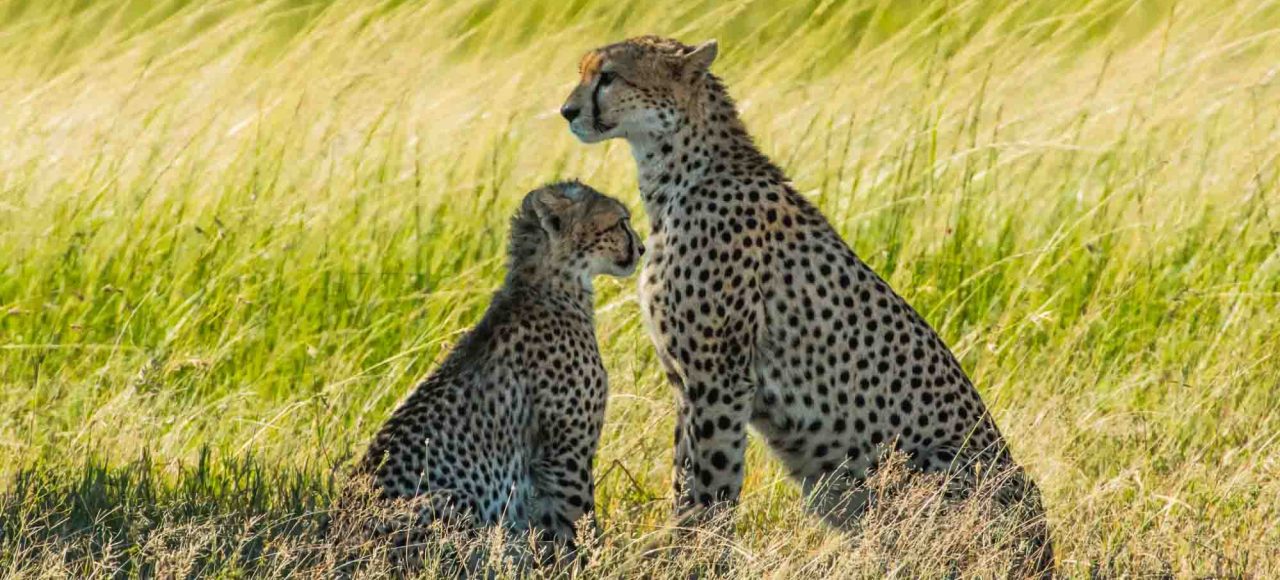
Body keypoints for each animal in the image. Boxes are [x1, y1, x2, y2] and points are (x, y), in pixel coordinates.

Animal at [353, 179, 640, 560]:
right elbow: (576, 520)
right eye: (621, 222)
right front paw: (587, 561)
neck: (547, 285)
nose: (642, 248)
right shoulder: (565, 456)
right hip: (453, 500)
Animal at [558, 35, 1049, 565]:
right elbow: (684, 475)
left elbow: (712, 481)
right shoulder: (686, 380)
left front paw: (698, 556)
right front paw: (680, 550)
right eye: (584, 72)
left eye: (609, 76)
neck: (679, 172)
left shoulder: (720, 379)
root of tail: (1043, 543)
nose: (567, 112)